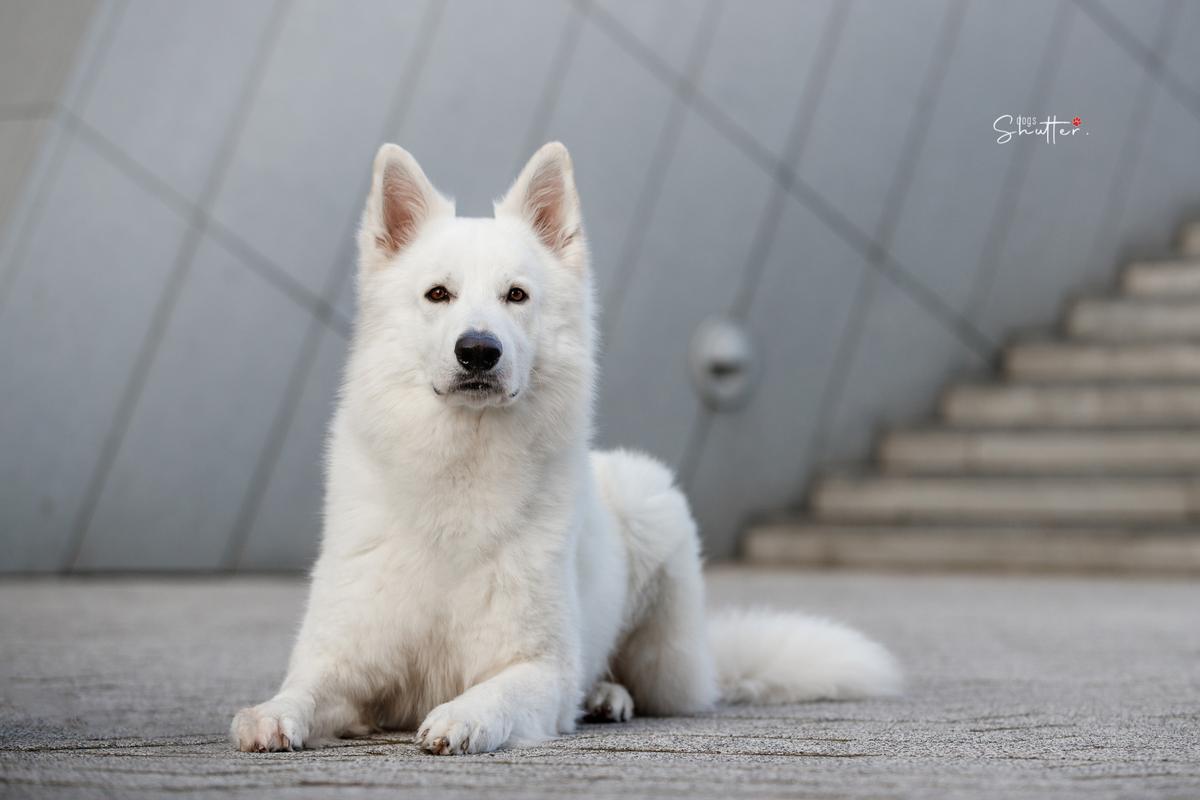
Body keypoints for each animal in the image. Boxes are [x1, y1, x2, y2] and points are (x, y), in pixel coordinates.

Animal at [229, 142, 897, 758]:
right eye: (438, 294)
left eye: (516, 295)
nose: (479, 350)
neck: (462, 470)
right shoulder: (343, 658)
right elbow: (303, 689)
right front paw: (269, 715)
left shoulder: (538, 666)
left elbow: (496, 692)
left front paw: (462, 717)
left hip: (656, 552)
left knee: (630, 678)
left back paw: (605, 695)